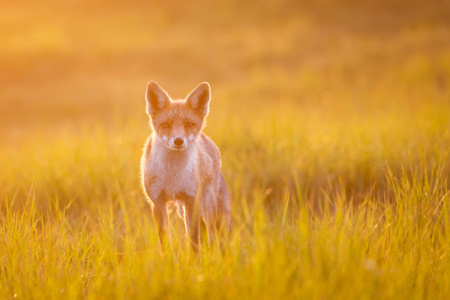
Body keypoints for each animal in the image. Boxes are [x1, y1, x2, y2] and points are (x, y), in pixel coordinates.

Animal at [140, 80, 232, 248]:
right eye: (165, 125)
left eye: (189, 124)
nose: (178, 141)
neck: (172, 174)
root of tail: (209, 141)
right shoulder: (158, 202)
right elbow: (165, 243)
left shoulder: (191, 200)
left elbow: (194, 241)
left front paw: (194, 255)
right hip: (182, 210)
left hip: (206, 205)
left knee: (212, 235)